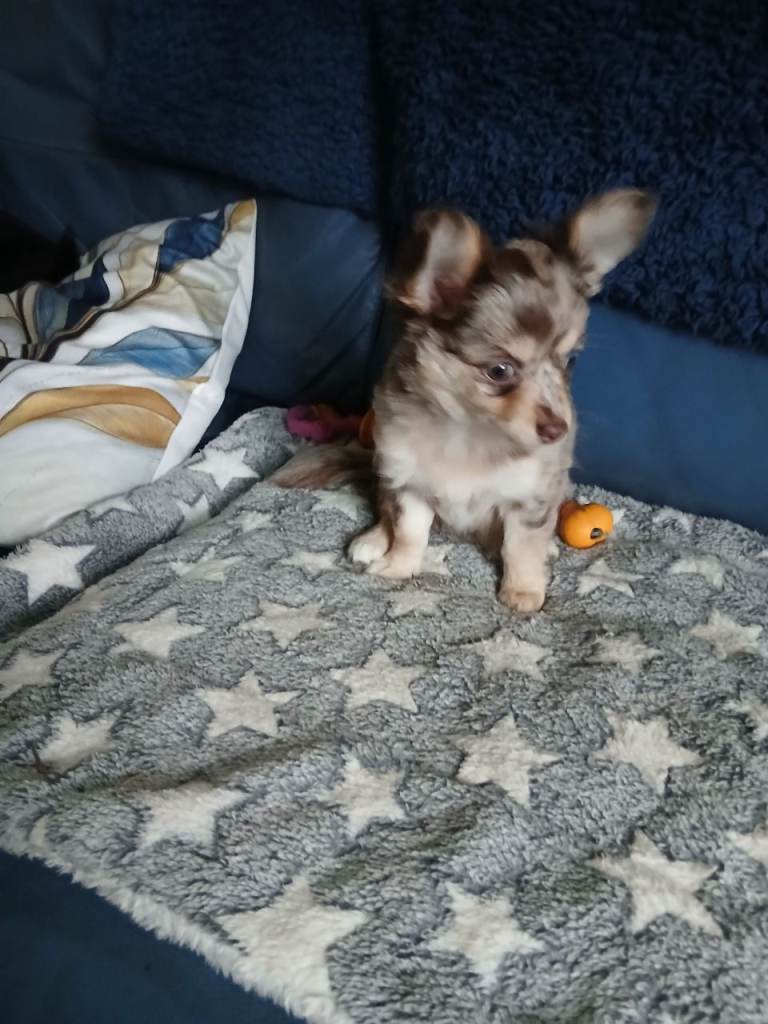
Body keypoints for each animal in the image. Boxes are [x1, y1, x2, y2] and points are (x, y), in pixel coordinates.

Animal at [272, 189, 656, 612]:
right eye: (500, 371)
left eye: (570, 361)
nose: (558, 429)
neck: (470, 431)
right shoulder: (410, 483)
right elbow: (409, 531)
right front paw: (399, 567)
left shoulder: (529, 497)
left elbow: (521, 546)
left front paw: (523, 591)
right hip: (385, 470)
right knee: (385, 508)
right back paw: (373, 539)